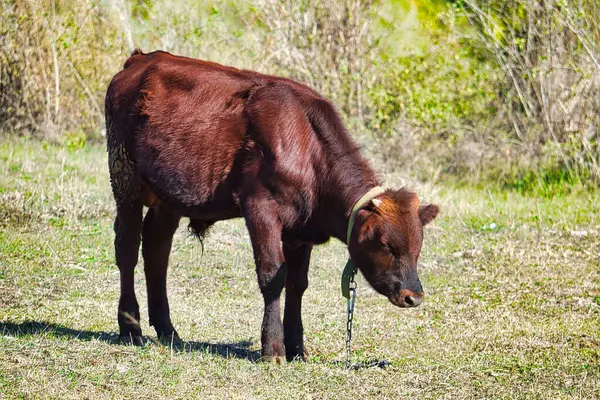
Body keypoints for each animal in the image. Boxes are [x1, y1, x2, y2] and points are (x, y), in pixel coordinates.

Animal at [105, 48, 438, 360]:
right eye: (386, 245)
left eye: (418, 247)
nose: (414, 296)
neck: (308, 147)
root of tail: (142, 59)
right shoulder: (260, 207)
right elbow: (272, 276)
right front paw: (273, 349)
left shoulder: (300, 230)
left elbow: (296, 283)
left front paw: (297, 348)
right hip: (125, 177)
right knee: (128, 249)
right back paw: (131, 328)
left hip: (167, 196)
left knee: (156, 251)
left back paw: (167, 330)